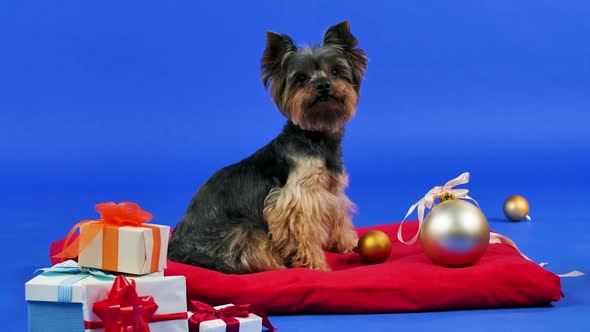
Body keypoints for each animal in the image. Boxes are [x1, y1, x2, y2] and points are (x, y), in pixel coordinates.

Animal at [169, 21, 368, 274]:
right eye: (301, 78)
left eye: (335, 71)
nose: (323, 85)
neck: (316, 136)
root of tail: (176, 248)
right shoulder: (297, 199)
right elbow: (302, 233)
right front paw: (316, 265)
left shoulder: (331, 191)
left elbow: (339, 216)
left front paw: (347, 244)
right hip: (244, 231)